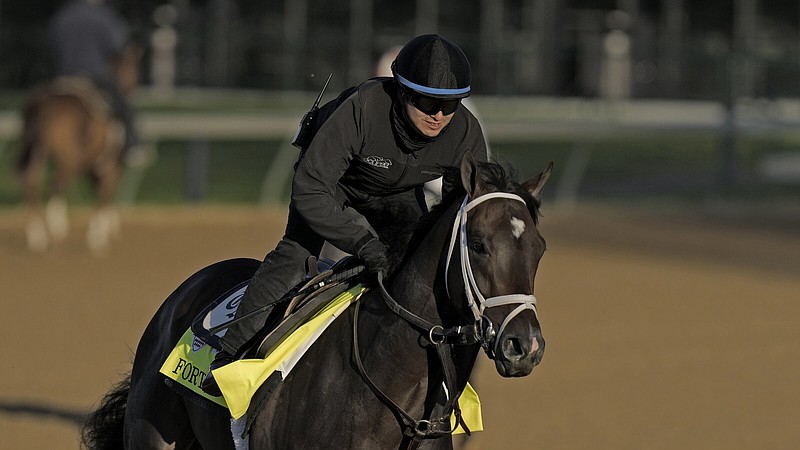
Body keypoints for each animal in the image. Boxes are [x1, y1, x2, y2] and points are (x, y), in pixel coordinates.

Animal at [16, 42, 143, 256]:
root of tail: (43, 102)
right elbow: (105, 195)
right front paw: (98, 238)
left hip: (37, 153)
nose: (133, 88)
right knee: (56, 184)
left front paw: (106, 231)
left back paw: (38, 238)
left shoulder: (95, 169)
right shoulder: (112, 167)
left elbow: (102, 195)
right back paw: (57, 232)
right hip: (70, 160)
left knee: (30, 182)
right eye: (132, 68)